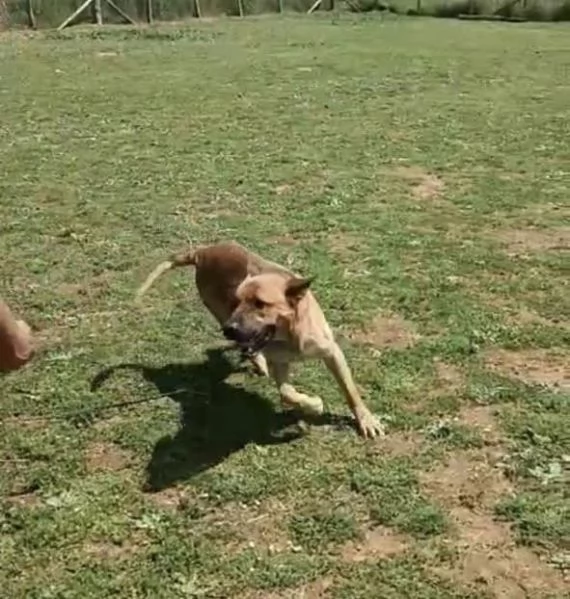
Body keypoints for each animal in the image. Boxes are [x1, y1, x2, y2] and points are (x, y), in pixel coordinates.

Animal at [135, 240, 380, 440]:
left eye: (260, 303)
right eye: (238, 301)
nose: (228, 330)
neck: (290, 336)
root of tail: (202, 252)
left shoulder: (331, 352)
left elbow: (350, 391)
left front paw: (366, 419)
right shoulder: (279, 362)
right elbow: (287, 393)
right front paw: (313, 405)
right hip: (221, 313)